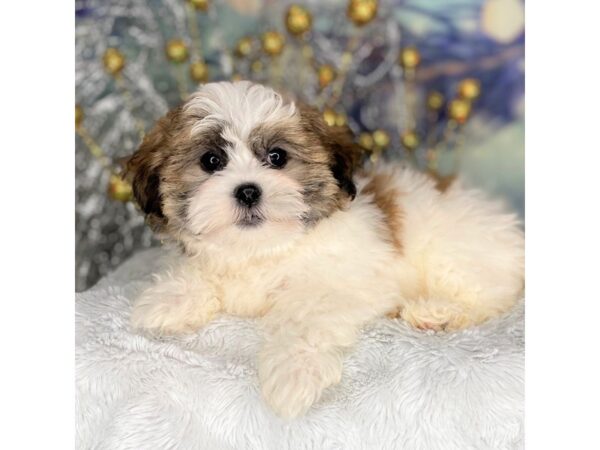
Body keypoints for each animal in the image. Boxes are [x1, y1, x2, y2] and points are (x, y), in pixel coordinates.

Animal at [127, 81, 524, 418]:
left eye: (277, 157)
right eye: (211, 161)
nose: (248, 190)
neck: (264, 249)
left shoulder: (342, 283)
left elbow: (305, 319)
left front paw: (293, 373)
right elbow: (199, 271)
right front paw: (170, 300)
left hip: (457, 251)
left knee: (490, 294)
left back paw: (438, 312)